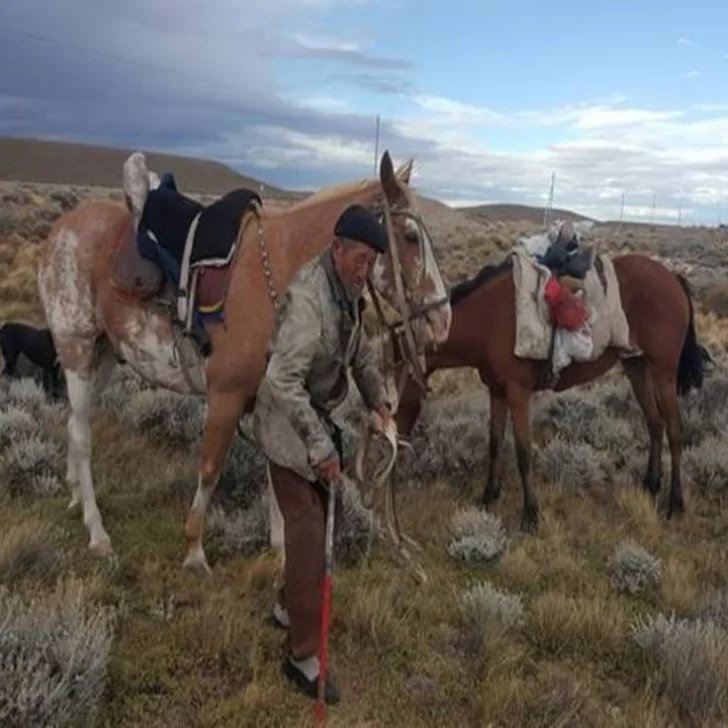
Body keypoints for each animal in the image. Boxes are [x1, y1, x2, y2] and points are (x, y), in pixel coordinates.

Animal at [37, 151, 452, 576]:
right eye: (409, 236)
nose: (443, 319)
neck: (280, 272)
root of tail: (62, 228)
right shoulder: (227, 395)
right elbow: (210, 467)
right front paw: (194, 550)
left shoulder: (269, 397)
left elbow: (276, 466)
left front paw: (280, 549)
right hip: (77, 349)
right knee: (83, 435)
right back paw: (97, 532)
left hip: (103, 355)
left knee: (73, 425)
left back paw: (75, 496)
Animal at [396, 239, 708, 528]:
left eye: (395, 397)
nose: (396, 446)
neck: (487, 320)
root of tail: (672, 277)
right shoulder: (496, 391)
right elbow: (495, 442)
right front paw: (489, 495)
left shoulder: (518, 393)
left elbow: (523, 452)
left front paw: (530, 515)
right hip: (636, 366)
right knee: (654, 423)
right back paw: (650, 484)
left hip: (663, 371)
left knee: (674, 430)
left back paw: (674, 502)